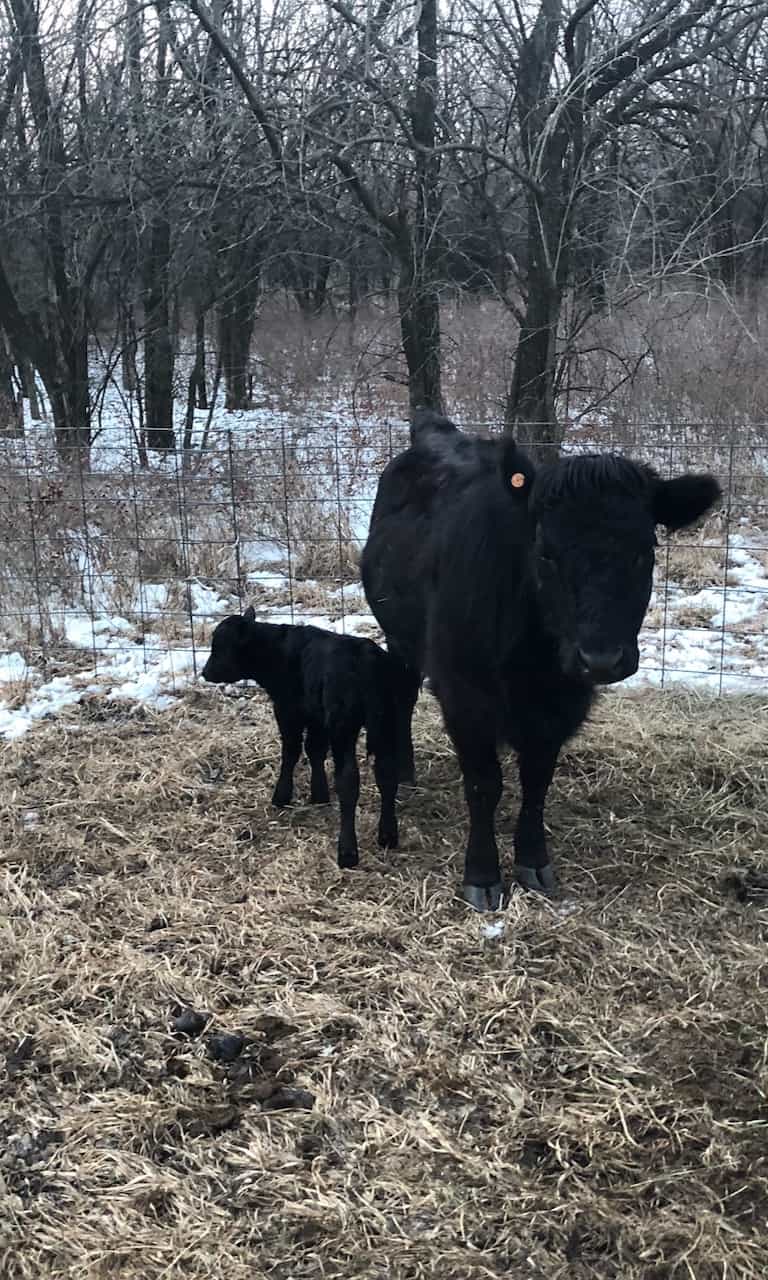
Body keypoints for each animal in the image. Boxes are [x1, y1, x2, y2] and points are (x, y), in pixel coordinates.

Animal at [201, 609, 404, 869]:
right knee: (387, 772)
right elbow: (314, 749)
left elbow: (292, 750)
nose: (205, 672)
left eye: (220, 646)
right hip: (387, 722)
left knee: (348, 780)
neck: (276, 650)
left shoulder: (287, 709)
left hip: (343, 726)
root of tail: (367, 657)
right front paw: (319, 794)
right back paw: (388, 835)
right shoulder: (316, 716)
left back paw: (347, 852)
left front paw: (282, 795)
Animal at [361, 411, 721, 911]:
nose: (601, 659)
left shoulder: (563, 703)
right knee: (404, 696)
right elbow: (484, 784)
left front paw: (533, 861)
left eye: (644, 550)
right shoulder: (465, 694)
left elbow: (537, 781)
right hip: (400, 638)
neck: (533, 662)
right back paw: (404, 769)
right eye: (546, 552)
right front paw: (483, 875)